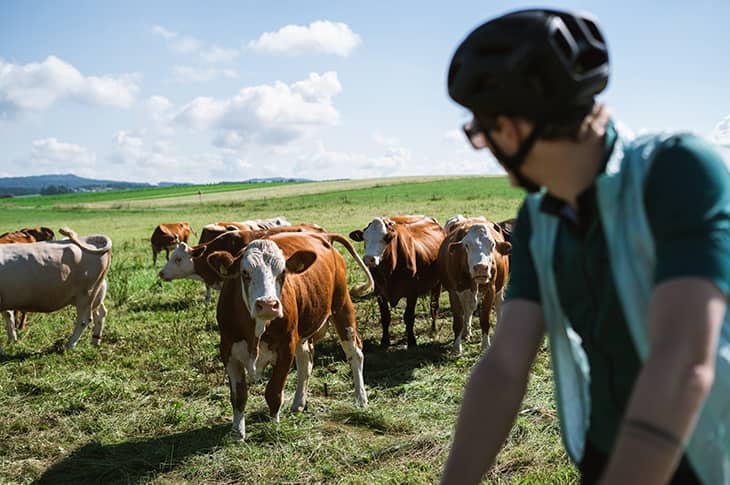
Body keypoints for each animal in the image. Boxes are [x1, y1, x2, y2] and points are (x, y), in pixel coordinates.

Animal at [0, 225, 112, 354]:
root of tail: (88, 239)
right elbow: (9, 317)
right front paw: (12, 341)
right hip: (96, 293)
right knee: (101, 313)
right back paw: (95, 341)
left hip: (86, 294)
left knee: (84, 320)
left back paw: (70, 344)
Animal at [205, 231, 370, 438]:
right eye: (245, 273)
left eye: (282, 272)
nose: (268, 304)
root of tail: (323, 235)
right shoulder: (227, 350)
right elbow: (239, 396)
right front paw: (237, 433)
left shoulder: (286, 348)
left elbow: (273, 392)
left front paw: (274, 426)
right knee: (306, 361)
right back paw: (298, 403)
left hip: (342, 307)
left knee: (354, 353)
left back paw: (361, 398)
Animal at [348, 214, 444, 346]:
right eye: (364, 238)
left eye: (387, 237)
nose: (369, 259)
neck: (389, 270)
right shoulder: (379, 292)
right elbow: (385, 316)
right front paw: (385, 341)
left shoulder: (412, 292)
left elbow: (409, 316)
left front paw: (411, 341)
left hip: (437, 284)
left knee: (434, 305)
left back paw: (434, 330)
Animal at [436, 215, 510, 352]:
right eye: (467, 245)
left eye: (492, 244)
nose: (481, 268)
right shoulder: (454, 292)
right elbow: (458, 320)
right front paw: (457, 347)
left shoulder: (490, 290)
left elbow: (485, 319)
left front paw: (486, 345)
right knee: (468, 310)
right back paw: (466, 332)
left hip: (499, 288)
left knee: (498, 305)